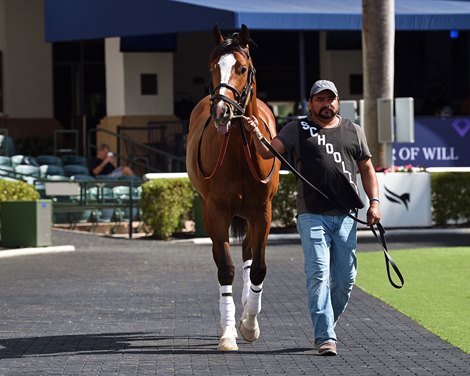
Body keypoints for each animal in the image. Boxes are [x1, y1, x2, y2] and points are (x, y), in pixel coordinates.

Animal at [185, 25, 280, 352]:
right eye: (213, 67)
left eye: (242, 68)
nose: (222, 111)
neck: (239, 153)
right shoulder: (215, 212)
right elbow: (224, 268)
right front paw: (227, 333)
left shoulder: (263, 212)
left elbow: (259, 267)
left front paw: (249, 324)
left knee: (250, 254)